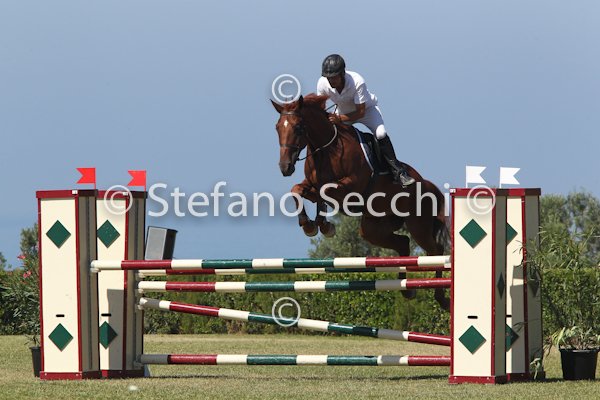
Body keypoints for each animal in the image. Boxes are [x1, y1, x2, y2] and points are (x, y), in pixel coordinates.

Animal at [271, 94, 450, 310]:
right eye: (277, 127)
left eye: (298, 127)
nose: (285, 167)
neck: (326, 150)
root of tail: (425, 183)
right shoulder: (311, 184)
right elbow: (297, 190)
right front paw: (311, 225)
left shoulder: (350, 188)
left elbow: (324, 190)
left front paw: (321, 225)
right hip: (372, 229)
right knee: (403, 243)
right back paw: (407, 290)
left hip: (418, 226)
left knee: (435, 250)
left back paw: (442, 298)